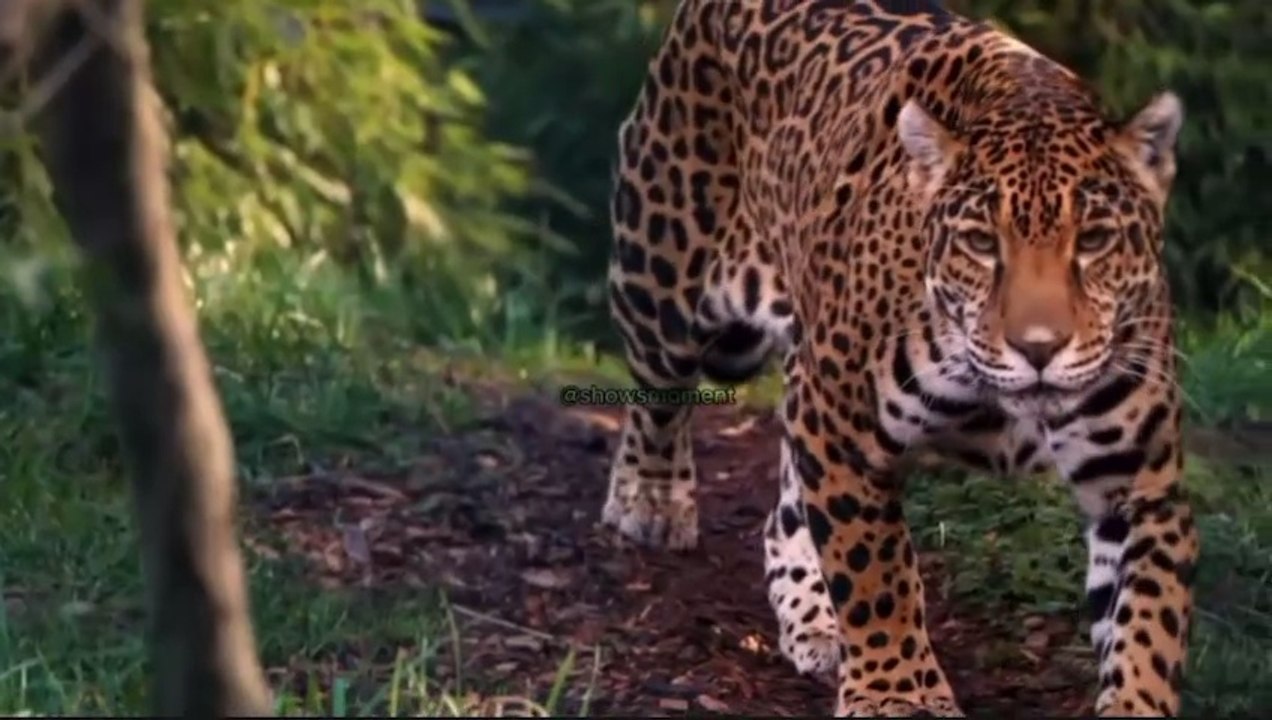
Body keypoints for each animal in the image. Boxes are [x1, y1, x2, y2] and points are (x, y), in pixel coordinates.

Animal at [600, 0, 1198, 716]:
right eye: (980, 243)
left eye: (1096, 240)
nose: (1039, 348)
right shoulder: (841, 429)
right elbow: (875, 572)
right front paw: (898, 694)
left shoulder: (1141, 486)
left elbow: (1149, 626)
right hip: (662, 275)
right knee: (657, 395)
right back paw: (652, 501)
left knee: (783, 514)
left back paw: (813, 622)